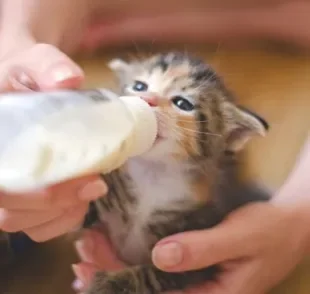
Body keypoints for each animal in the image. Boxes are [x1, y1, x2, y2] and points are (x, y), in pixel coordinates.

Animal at [81, 52, 270, 294]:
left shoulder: (200, 245)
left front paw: (110, 285)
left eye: (183, 103)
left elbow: (154, 274)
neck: (153, 173)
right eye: (139, 86)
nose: (146, 99)